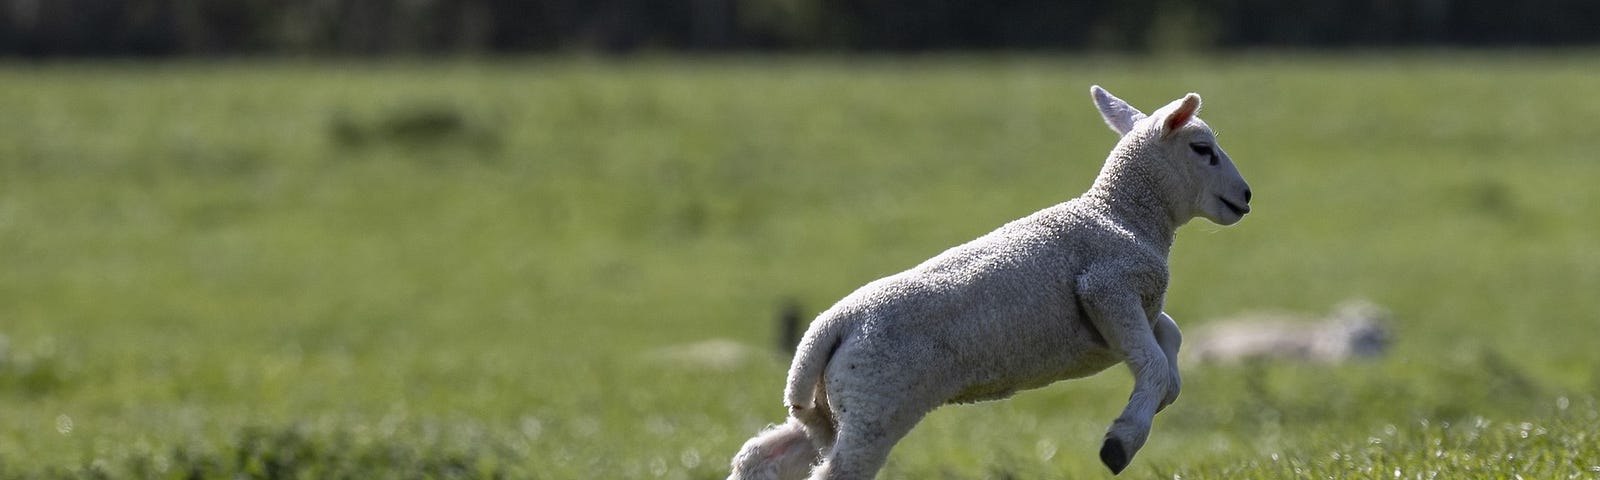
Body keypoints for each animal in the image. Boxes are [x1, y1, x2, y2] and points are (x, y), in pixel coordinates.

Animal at [732, 86, 1254, 480]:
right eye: (1202, 150)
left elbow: (1170, 344)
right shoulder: (1106, 287)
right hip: (875, 407)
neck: (1124, 215)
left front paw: (1154, 402)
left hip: (833, 409)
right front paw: (1120, 443)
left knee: (762, 454)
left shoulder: (1131, 306)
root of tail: (826, 329)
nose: (1246, 196)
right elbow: (1156, 364)